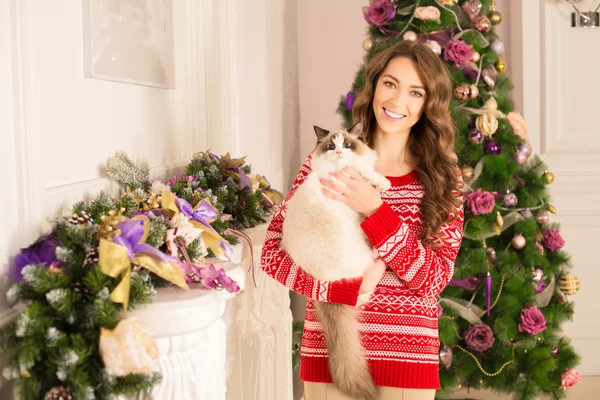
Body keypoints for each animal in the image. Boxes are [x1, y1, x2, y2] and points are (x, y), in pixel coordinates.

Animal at [282, 122, 390, 400]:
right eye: (331, 146)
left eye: (348, 144)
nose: (340, 152)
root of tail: (328, 282)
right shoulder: (342, 174)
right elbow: (366, 172)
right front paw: (382, 183)